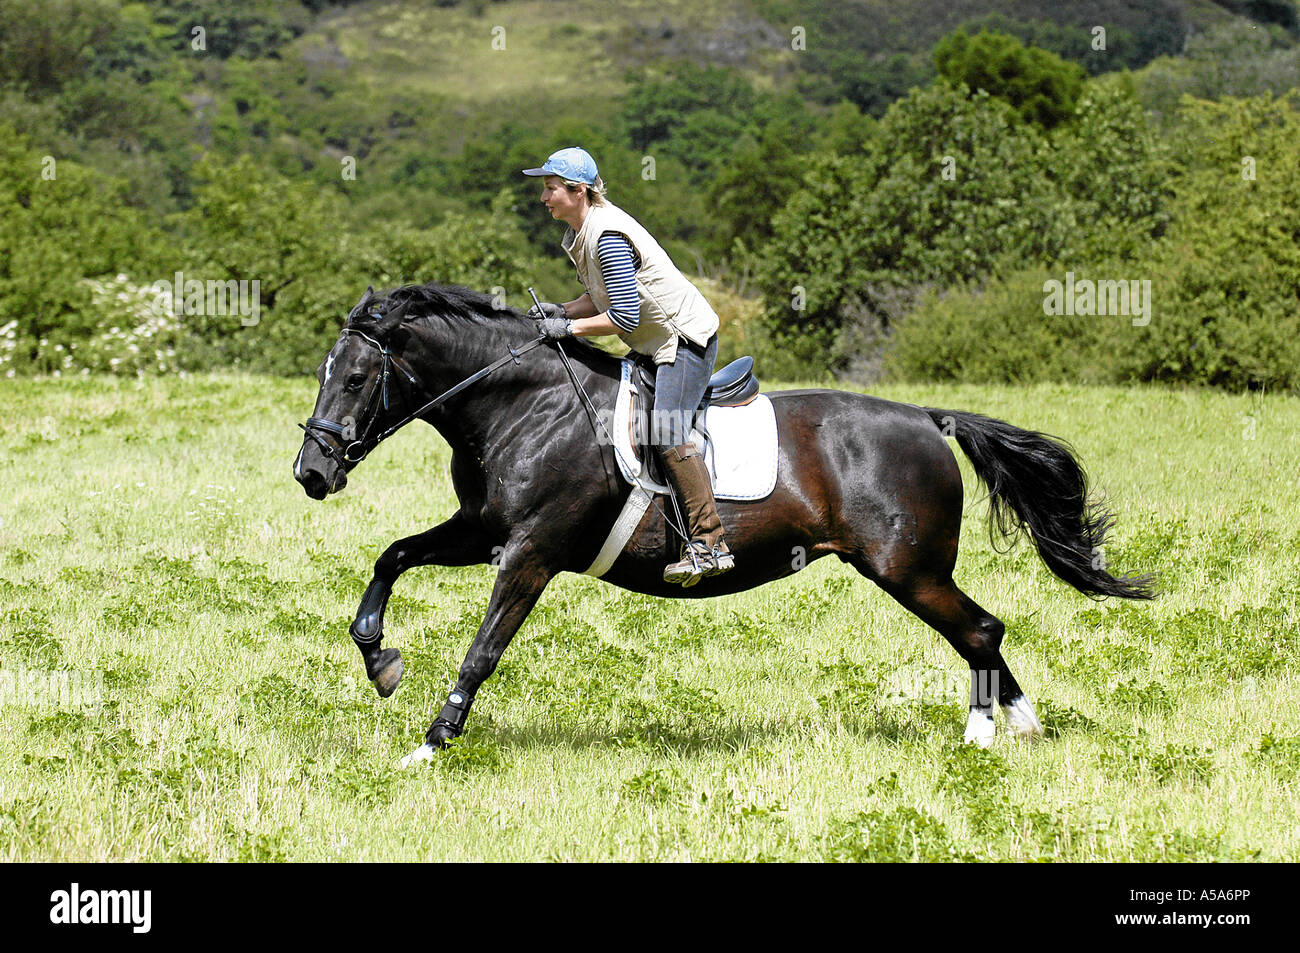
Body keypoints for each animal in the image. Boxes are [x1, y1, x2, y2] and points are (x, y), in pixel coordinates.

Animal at [293, 282, 1155, 765]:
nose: (312, 473)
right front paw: (381, 661)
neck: (523, 403)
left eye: (359, 376)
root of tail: (926, 418)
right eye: (326, 373)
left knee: (980, 629)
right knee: (982, 631)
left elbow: (482, 650)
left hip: (906, 568)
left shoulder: (530, 552)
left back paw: (984, 736)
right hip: (910, 570)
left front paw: (432, 741)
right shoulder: (483, 531)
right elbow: (391, 557)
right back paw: (1020, 726)